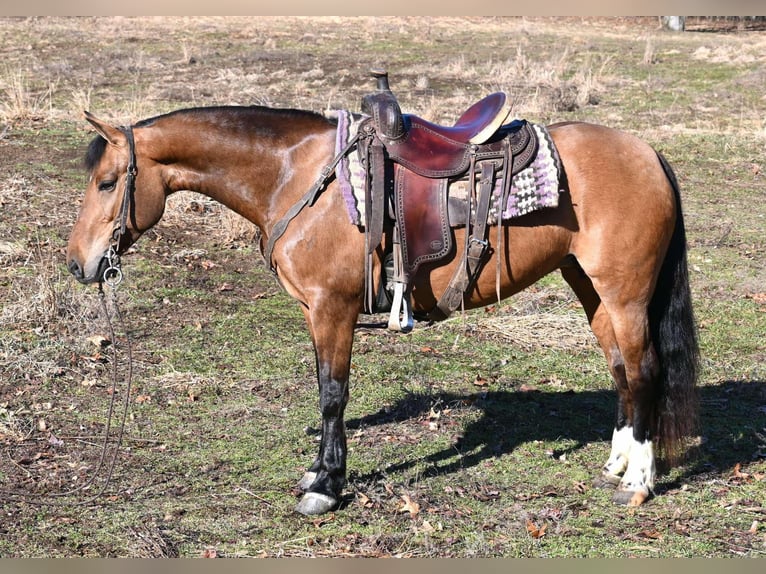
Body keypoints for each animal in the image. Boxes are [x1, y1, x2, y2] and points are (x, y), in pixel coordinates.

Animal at [66, 102, 699, 516]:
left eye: (107, 182)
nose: (77, 264)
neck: (294, 176)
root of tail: (649, 154)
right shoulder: (317, 314)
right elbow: (325, 387)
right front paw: (321, 472)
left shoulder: (332, 309)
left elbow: (332, 394)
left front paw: (325, 484)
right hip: (591, 289)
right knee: (621, 371)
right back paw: (617, 462)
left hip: (624, 294)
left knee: (645, 372)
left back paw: (639, 481)